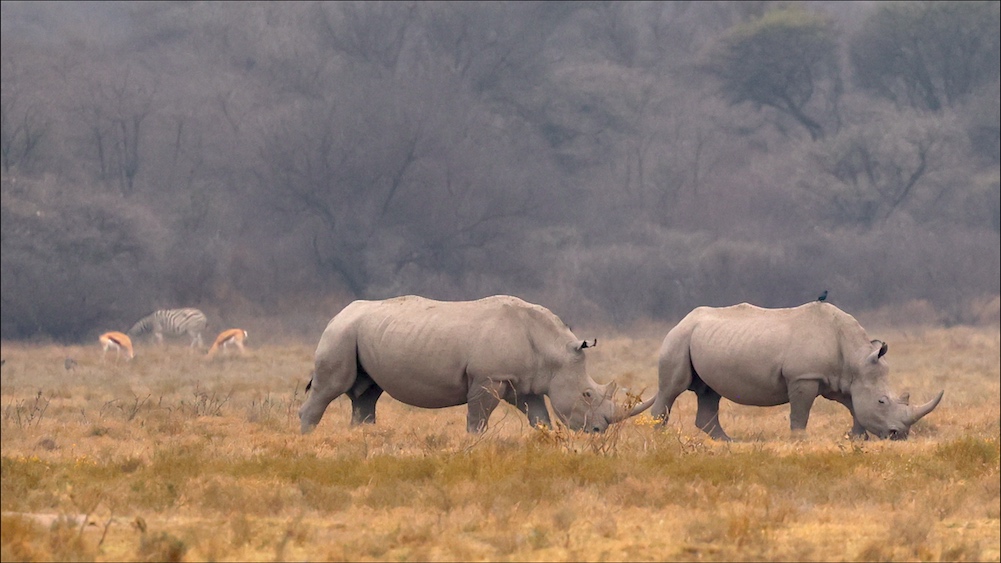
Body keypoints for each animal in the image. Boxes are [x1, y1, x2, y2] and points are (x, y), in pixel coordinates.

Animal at [300, 295, 655, 434]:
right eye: (587, 395)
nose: (598, 431)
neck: (554, 350)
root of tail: (338, 313)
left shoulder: (524, 383)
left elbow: (539, 418)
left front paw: (545, 440)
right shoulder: (488, 378)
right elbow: (478, 418)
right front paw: (474, 443)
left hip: (361, 332)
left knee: (367, 394)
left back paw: (362, 434)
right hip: (340, 333)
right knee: (331, 387)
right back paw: (306, 437)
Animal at [652, 302, 944, 440]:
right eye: (882, 401)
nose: (900, 435)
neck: (856, 359)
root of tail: (683, 319)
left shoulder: (841, 380)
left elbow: (855, 407)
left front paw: (856, 438)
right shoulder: (804, 376)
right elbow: (800, 413)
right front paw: (800, 440)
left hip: (704, 339)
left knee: (710, 392)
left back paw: (731, 443)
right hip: (679, 338)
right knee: (672, 388)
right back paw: (662, 441)